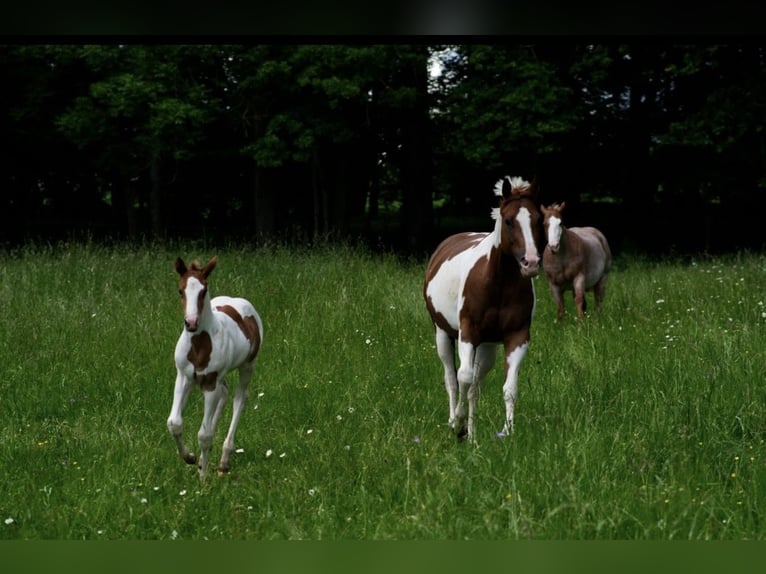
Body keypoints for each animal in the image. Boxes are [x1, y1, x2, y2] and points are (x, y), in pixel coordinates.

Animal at [168, 258, 264, 482]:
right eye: (180, 290)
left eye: (203, 290)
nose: (191, 323)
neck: (199, 344)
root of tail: (239, 301)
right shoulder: (184, 377)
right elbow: (174, 423)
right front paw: (190, 458)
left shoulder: (210, 383)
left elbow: (204, 435)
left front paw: (203, 479)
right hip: (218, 378)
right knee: (224, 393)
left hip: (247, 366)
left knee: (240, 398)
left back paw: (223, 461)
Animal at [426, 178, 544, 444]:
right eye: (509, 220)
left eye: (538, 219)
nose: (531, 263)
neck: (498, 283)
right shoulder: (468, 333)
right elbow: (463, 377)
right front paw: (457, 424)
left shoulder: (517, 337)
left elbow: (509, 388)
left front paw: (508, 431)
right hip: (443, 334)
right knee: (452, 379)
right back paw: (456, 424)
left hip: (487, 347)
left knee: (475, 388)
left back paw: (471, 435)